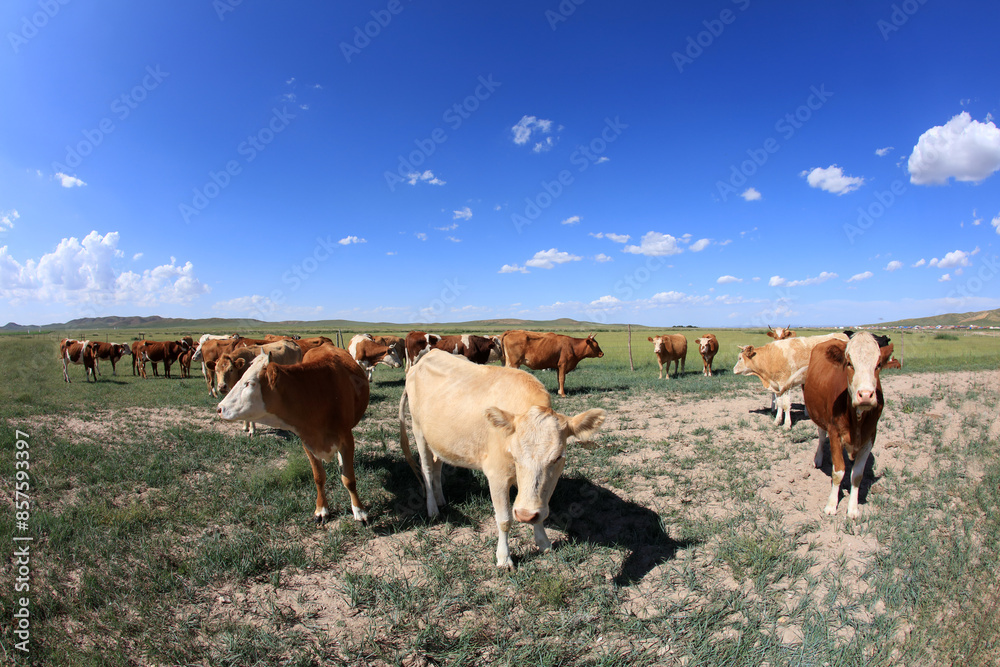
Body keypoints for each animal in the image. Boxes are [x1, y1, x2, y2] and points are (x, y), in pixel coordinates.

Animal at [216, 343, 370, 523]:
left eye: (249, 383)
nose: (219, 408)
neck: (317, 393)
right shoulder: (307, 441)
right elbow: (319, 477)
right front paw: (321, 509)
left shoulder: (346, 439)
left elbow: (349, 479)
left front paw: (359, 511)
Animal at [398, 349, 606, 568]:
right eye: (514, 454)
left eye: (558, 457)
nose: (524, 515)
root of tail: (426, 356)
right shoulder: (496, 475)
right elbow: (504, 519)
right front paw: (504, 558)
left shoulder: (549, 482)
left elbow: (540, 509)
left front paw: (543, 542)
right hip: (419, 431)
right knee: (427, 469)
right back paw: (432, 509)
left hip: (440, 440)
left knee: (437, 466)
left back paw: (441, 500)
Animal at [802, 332, 885, 519]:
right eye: (849, 363)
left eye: (877, 365)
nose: (866, 395)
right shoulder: (835, 433)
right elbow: (838, 472)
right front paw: (831, 505)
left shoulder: (870, 437)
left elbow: (857, 475)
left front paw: (853, 508)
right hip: (819, 415)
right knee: (821, 435)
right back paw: (818, 458)